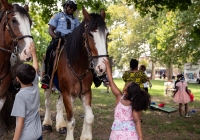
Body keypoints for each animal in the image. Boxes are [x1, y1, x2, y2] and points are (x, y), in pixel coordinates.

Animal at [41, 6, 108, 140]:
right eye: (90, 34)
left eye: (107, 34)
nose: (102, 67)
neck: (78, 65)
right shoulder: (68, 93)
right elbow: (71, 121)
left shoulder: (85, 92)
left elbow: (89, 117)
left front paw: (86, 136)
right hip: (49, 85)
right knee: (48, 102)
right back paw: (47, 124)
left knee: (59, 104)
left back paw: (61, 125)